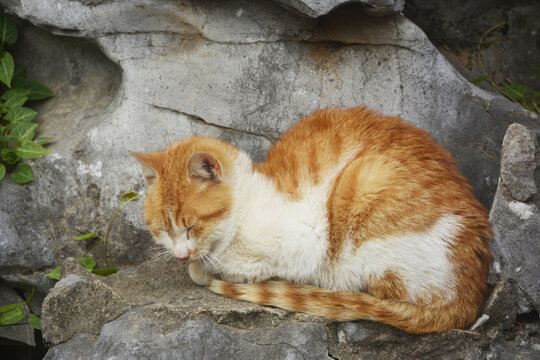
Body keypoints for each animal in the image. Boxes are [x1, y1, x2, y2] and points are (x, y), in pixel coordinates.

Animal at [131, 107, 494, 334]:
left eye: (192, 226)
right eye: (163, 230)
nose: (181, 255)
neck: (248, 202)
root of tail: (468, 301)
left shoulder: (307, 240)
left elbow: (236, 267)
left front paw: (206, 269)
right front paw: (198, 264)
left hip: (365, 183)